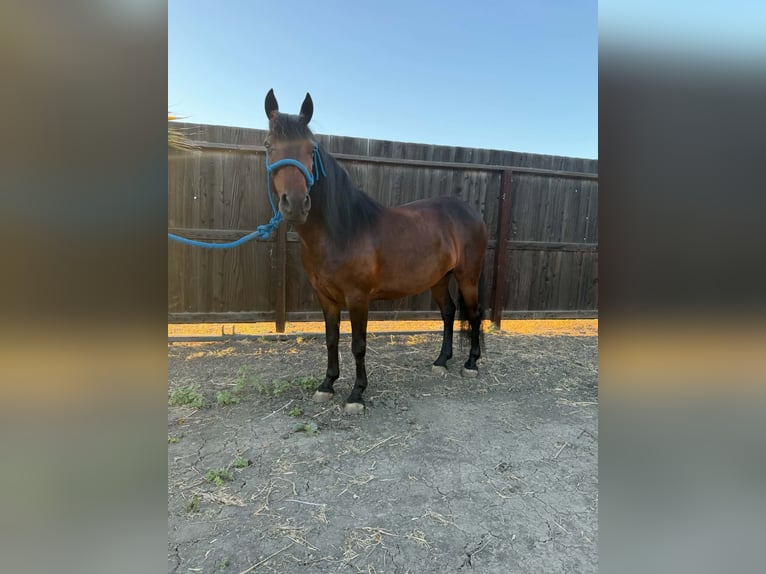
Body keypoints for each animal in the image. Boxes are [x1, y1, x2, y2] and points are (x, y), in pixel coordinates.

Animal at [263, 89, 488, 413]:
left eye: (311, 148)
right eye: (268, 145)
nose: (294, 203)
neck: (342, 229)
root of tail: (470, 212)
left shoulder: (358, 298)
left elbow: (358, 344)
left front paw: (357, 394)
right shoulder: (325, 297)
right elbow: (331, 339)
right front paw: (327, 384)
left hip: (468, 276)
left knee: (474, 313)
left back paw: (471, 364)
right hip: (439, 278)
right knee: (448, 312)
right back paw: (441, 361)